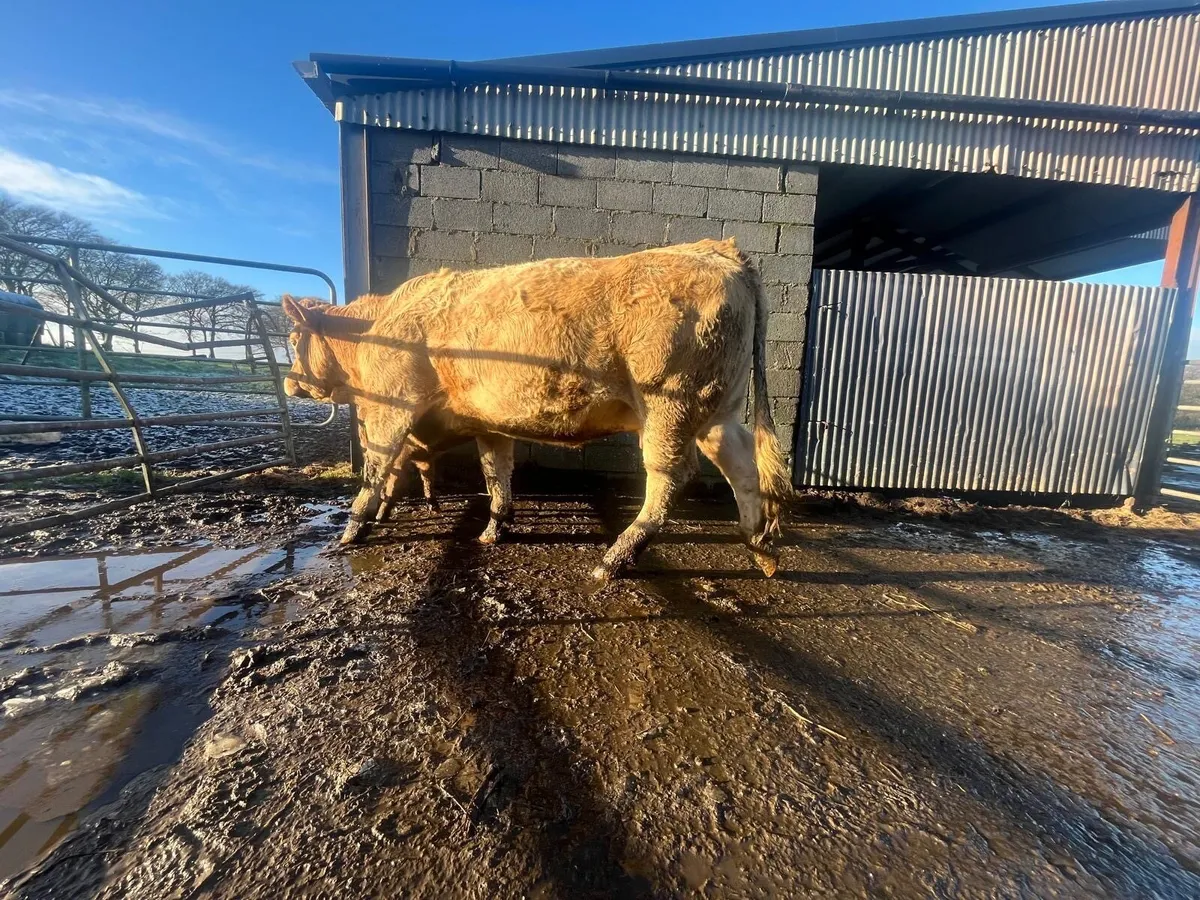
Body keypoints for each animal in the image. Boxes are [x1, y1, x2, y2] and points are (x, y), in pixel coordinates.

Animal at [281, 238, 791, 584]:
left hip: (670, 401)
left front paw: (351, 532)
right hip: (716, 409)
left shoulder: (391, 406)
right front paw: (494, 529)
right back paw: (760, 547)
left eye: (292, 337)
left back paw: (614, 560)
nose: (287, 380)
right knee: (743, 466)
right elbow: (496, 474)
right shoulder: (488, 422)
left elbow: (375, 467)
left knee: (671, 475)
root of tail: (716, 249)